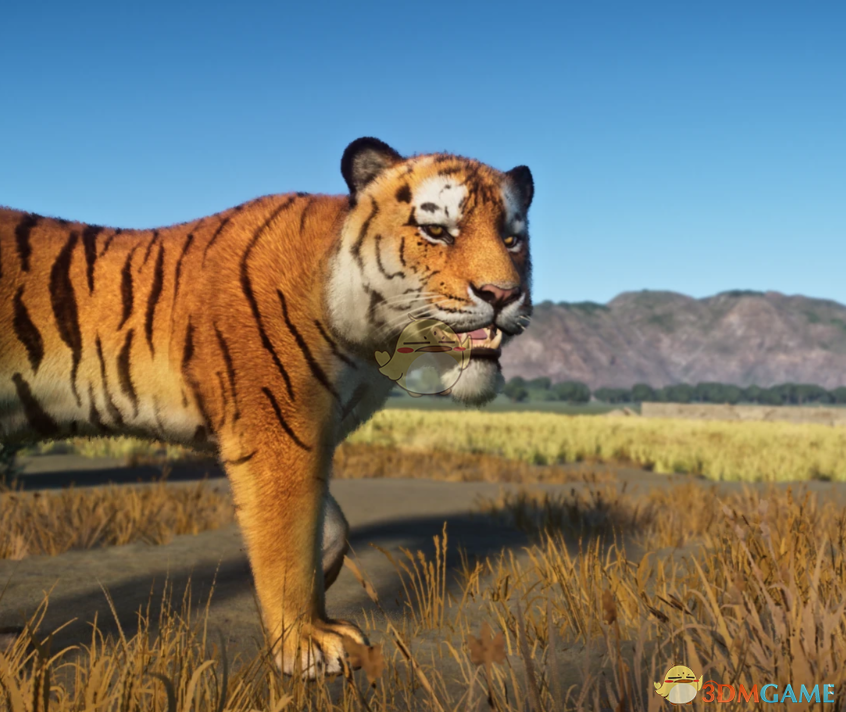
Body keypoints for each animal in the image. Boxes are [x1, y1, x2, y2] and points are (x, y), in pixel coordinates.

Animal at [0, 137, 534, 677]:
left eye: (512, 240)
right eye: (437, 231)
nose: (504, 294)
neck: (372, 340)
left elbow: (330, 524)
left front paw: (325, 585)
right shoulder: (280, 433)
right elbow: (287, 538)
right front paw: (306, 644)